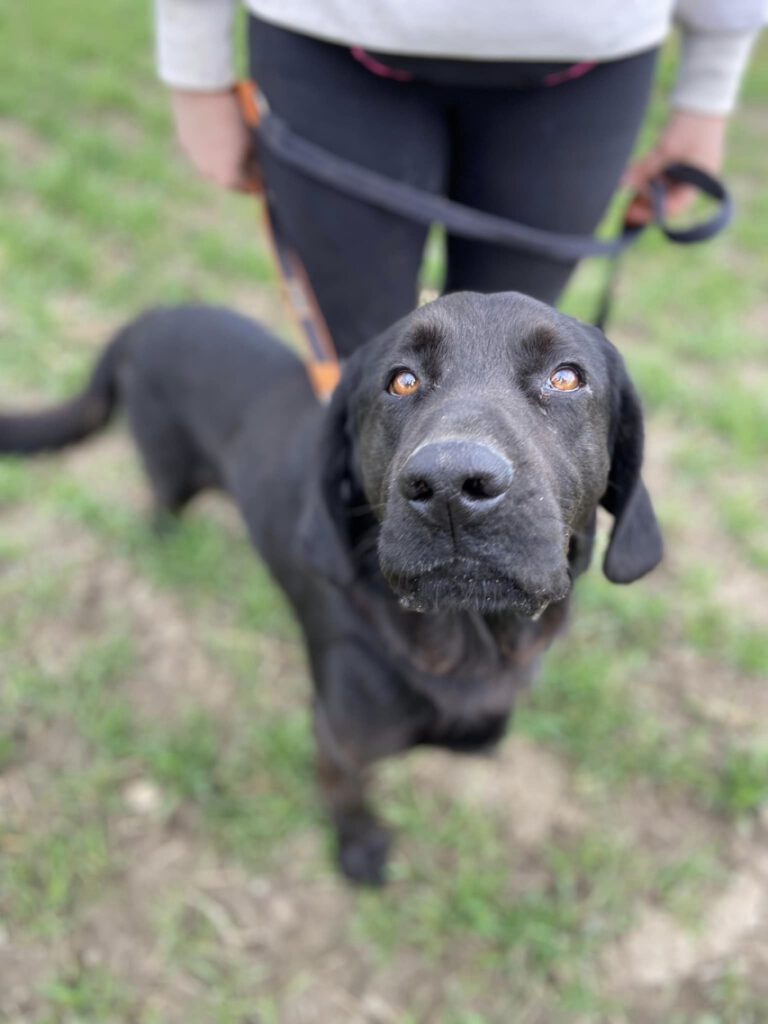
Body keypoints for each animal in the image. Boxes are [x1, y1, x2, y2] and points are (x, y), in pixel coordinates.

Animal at [0, 292, 663, 884]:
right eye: (401, 381)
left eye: (566, 377)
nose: (451, 485)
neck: (468, 638)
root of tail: (151, 316)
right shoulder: (338, 737)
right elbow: (348, 794)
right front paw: (360, 849)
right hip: (171, 467)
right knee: (161, 504)